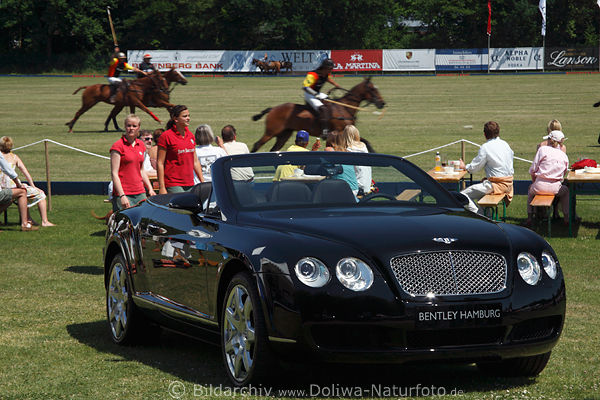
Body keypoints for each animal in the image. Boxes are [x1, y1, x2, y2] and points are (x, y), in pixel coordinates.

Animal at [252, 77, 384, 152]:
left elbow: (367, 142)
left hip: (284, 134)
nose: (382, 103)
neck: (344, 107)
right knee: (257, 144)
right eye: (372, 89)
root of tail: (272, 109)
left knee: (274, 149)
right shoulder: (339, 132)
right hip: (271, 131)